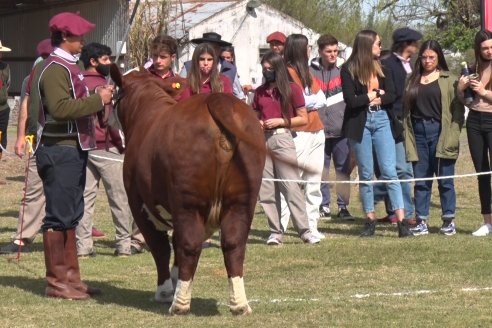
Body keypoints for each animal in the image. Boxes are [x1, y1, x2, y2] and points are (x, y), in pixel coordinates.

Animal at [110, 66, 268, 316]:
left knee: (190, 244)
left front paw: (165, 291)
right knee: (234, 243)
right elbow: (175, 244)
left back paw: (179, 304)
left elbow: (161, 247)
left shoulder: (139, 203)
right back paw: (239, 304)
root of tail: (216, 99)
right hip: (243, 199)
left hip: (188, 202)